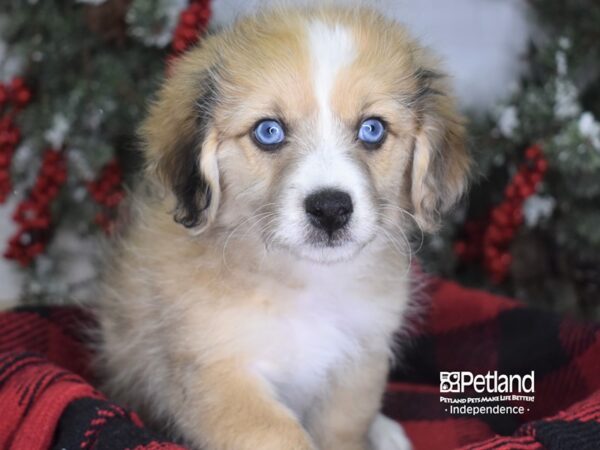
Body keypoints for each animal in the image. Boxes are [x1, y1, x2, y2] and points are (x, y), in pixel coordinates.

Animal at [97, 4, 468, 450]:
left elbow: (344, 431)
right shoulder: (218, 374)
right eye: (269, 131)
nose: (330, 209)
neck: (303, 283)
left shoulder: (359, 361)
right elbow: (281, 435)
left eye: (372, 129)